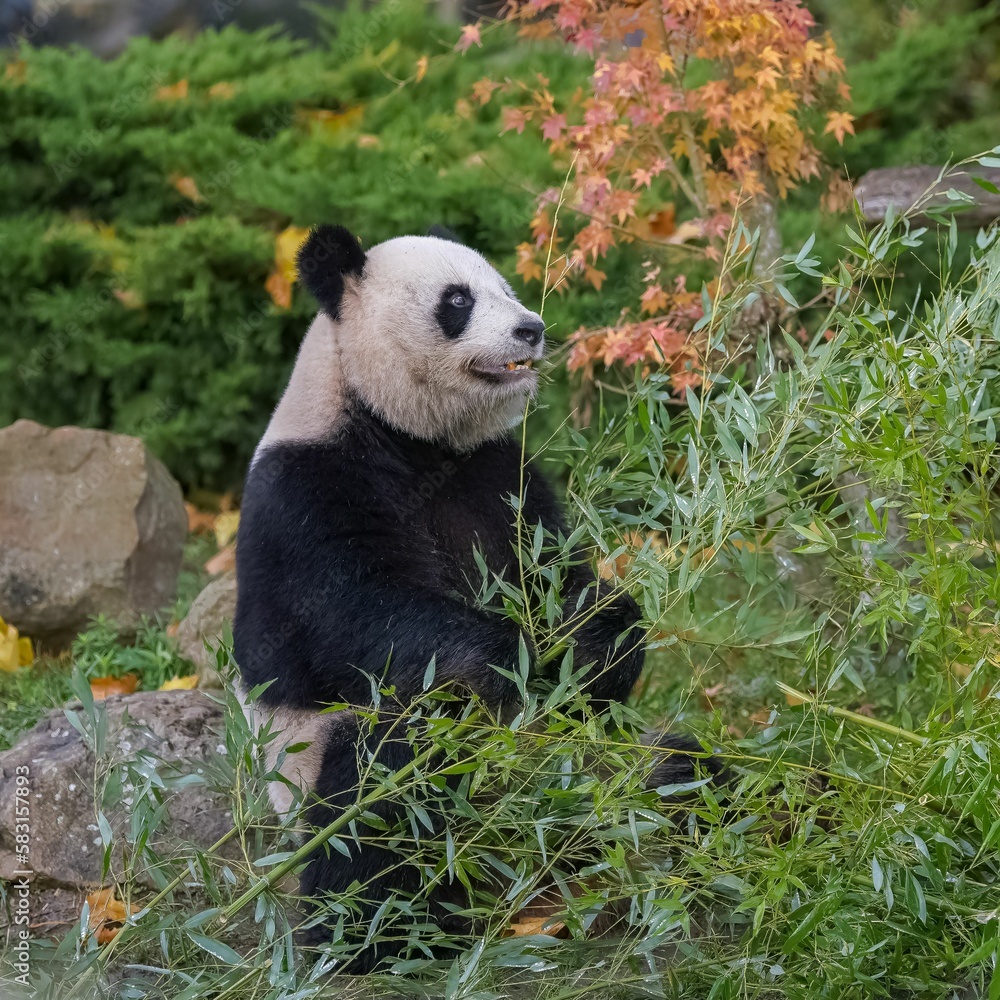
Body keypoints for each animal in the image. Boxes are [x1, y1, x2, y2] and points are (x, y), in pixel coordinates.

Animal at [233, 224, 715, 971]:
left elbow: (556, 576)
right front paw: (507, 656)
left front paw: (596, 637)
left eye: (507, 289)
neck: (409, 437)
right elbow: (352, 615)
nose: (531, 328)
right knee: (382, 793)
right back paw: (381, 932)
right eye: (457, 301)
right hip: (321, 772)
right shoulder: (306, 491)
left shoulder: (497, 476)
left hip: (608, 770)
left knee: (688, 775)